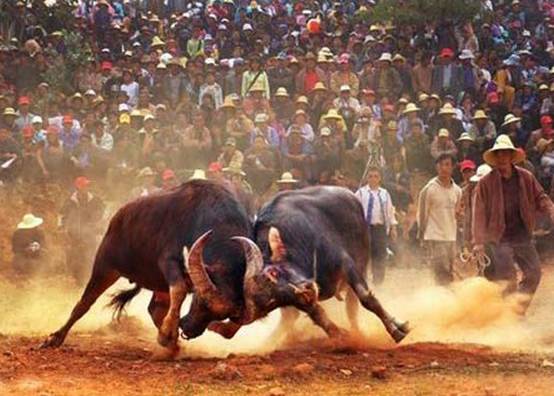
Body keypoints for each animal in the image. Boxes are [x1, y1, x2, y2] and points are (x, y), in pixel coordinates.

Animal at [41, 180, 250, 356]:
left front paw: (169, 336)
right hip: (106, 266)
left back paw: (172, 344)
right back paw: (55, 338)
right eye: (200, 301)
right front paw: (167, 334)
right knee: (84, 303)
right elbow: (180, 289)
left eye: (223, 315)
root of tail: (118, 216)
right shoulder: (168, 261)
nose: (189, 330)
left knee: (154, 308)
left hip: (158, 283)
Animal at [188, 186, 408, 344]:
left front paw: (398, 330)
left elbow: (366, 299)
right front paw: (339, 335)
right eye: (273, 302)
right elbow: (317, 314)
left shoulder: (347, 265)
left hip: (362, 260)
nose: (307, 290)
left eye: (274, 273)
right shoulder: (302, 301)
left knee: (352, 307)